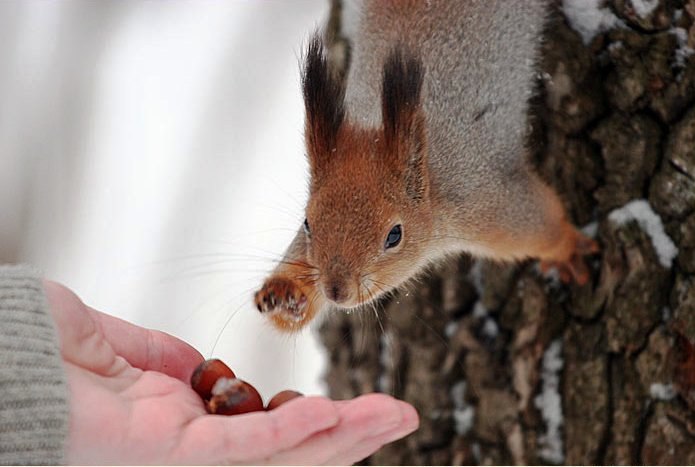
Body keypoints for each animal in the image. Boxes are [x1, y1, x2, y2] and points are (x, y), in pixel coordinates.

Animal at [254, 1, 600, 334]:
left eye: (394, 236)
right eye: (307, 222)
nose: (336, 290)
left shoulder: (488, 202)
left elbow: (540, 226)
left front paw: (568, 249)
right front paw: (284, 294)